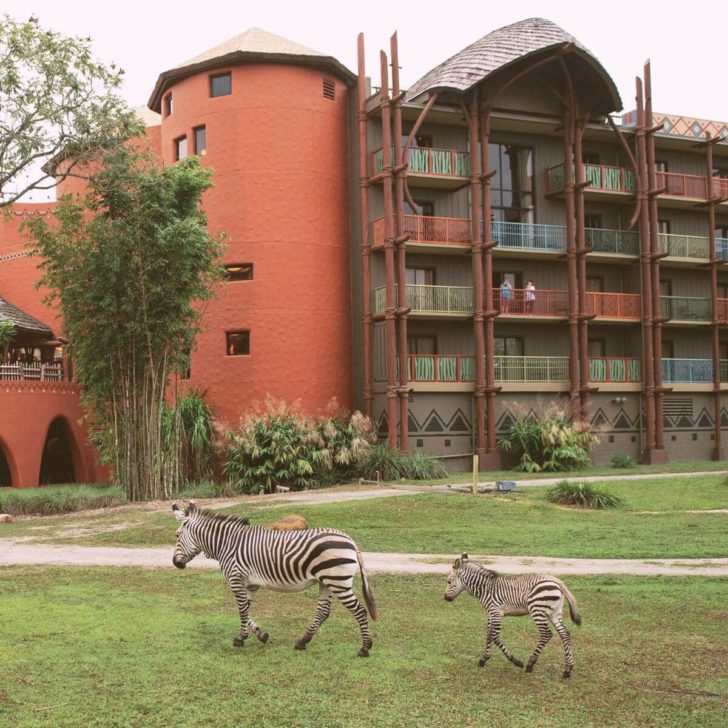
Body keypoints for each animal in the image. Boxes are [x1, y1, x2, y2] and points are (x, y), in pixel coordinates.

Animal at [171, 504, 376, 656]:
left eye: (177, 535)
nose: (175, 563)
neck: (226, 544)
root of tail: (351, 541)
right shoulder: (251, 584)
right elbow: (246, 609)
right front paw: (260, 635)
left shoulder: (236, 579)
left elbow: (241, 610)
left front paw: (240, 638)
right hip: (326, 582)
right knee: (323, 612)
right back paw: (302, 642)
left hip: (338, 581)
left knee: (359, 611)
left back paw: (365, 648)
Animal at [444, 556, 580, 680]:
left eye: (449, 582)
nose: (445, 598)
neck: (486, 589)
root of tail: (556, 581)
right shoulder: (491, 614)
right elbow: (488, 634)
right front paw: (484, 659)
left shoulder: (496, 613)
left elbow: (495, 637)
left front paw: (516, 661)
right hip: (554, 612)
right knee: (565, 633)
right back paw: (568, 670)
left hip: (537, 610)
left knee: (546, 634)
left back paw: (530, 665)